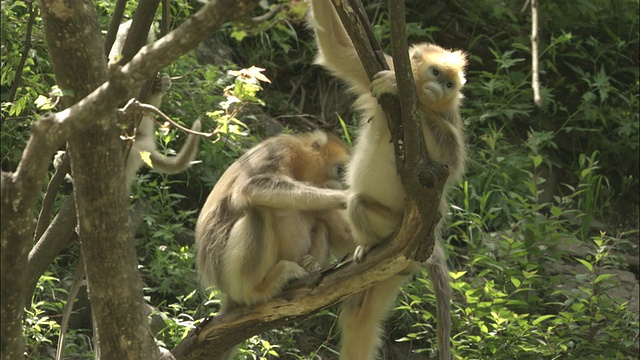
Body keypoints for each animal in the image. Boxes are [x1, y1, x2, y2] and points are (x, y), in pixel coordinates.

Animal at [308, 1, 464, 358]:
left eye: (450, 85)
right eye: (436, 73)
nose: (440, 87)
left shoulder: (449, 118)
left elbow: (450, 160)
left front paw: (397, 86)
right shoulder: (371, 69)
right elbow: (335, 48)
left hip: (400, 233)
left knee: (355, 203)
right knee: (360, 314)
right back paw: (365, 249)